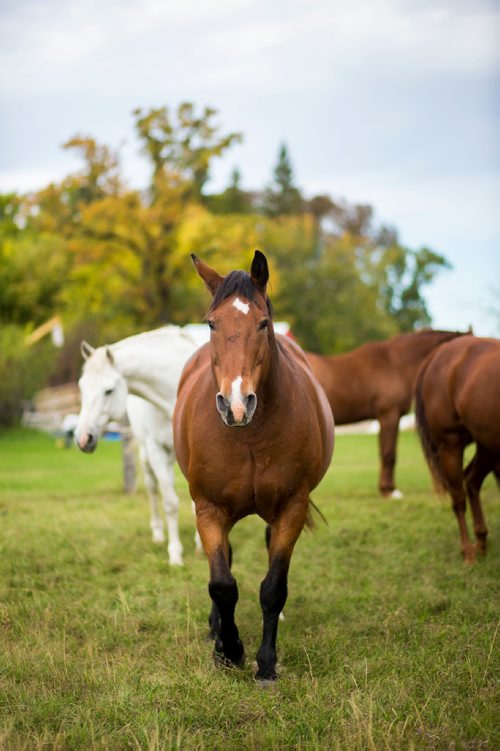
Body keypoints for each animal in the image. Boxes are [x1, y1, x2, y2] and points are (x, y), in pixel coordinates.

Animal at [74, 326, 207, 568]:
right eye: (82, 387)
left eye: (109, 390)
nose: (83, 439)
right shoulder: (156, 451)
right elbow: (170, 503)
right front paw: (175, 554)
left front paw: (201, 544)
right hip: (148, 456)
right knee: (153, 489)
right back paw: (158, 533)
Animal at [174, 253, 334, 680]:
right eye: (211, 324)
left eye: (263, 323)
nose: (235, 403)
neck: (249, 437)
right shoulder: (209, 508)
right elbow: (222, 584)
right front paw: (228, 650)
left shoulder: (292, 507)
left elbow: (273, 587)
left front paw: (265, 664)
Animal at [414, 336, 500, 564]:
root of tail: (438, 353)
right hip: (450, 444)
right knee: (459, 497)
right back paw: (469, 552)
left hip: (487, 445)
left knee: (471, 481)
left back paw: (481, 542)